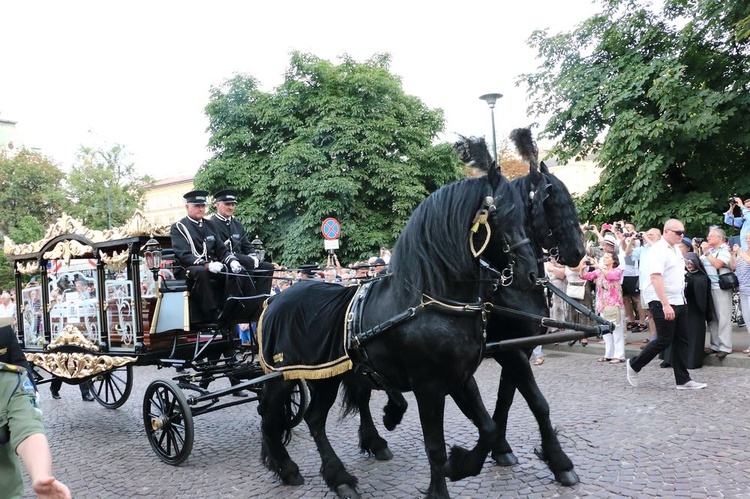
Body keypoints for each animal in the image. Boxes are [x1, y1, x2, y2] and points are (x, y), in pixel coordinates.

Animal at [258, 139, 540, 499]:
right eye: (502, 213)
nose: (530, 274)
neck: (431, 302)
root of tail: (276, 297)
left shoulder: (459, 378)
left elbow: (488, 428)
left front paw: (462, 464)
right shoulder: (428, 386)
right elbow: (435, 446)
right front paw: (440, 486)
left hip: (327, 376)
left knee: (314, 419)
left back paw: (339, 478)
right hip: (283, 378)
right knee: (271, 418)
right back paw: (288, 468)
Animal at [346, 127, 588, 486]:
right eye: (553, 200)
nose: (578, 252)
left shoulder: (517, 348)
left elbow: (506, 399)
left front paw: (501, 447)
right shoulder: (508, 350)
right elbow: (535, 402)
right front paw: (558, 461)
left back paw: (388, 418)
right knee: (362, 390)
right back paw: (376, 438)